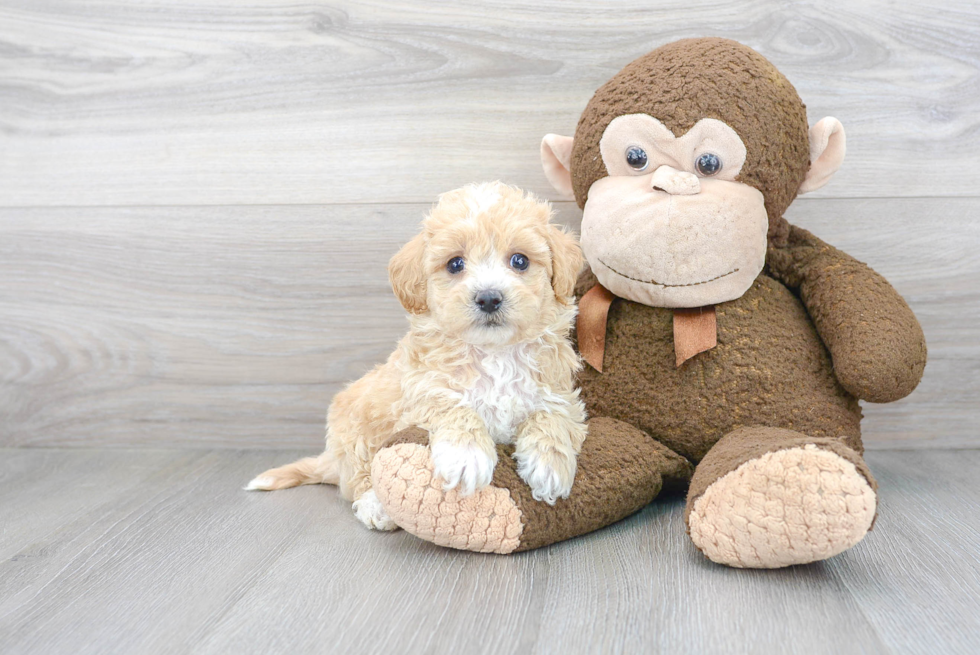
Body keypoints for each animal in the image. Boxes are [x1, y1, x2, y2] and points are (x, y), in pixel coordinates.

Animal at [245, 182, 584, 532]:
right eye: (455, 264)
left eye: (519, 261)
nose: (489, 298)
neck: (494, 353)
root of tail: (332, 458)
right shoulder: (419, 391)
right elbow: (452, 405)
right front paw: (466, 455)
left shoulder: (560, 392)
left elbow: (553, 414)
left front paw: (550, 464)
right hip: (355, 430)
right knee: (359, 479)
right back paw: (375, 505)